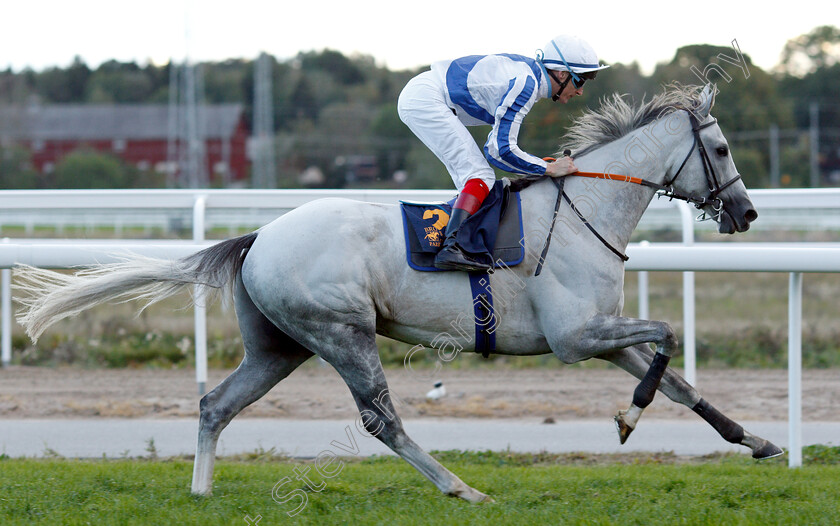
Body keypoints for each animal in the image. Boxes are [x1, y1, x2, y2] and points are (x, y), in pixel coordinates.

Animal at [16, 85, 784, 504]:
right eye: (720, 149)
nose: (748, 213)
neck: (582, 210)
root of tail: (259, 236)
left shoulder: (601, 330)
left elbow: (679, 379)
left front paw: (756, 440)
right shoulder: (575, 338)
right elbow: (667, 339)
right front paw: (627, 418)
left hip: (279, 347)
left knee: (215, 403)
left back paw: (201, 491)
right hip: (341, 332)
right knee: (381, 421)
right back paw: (462, 487)